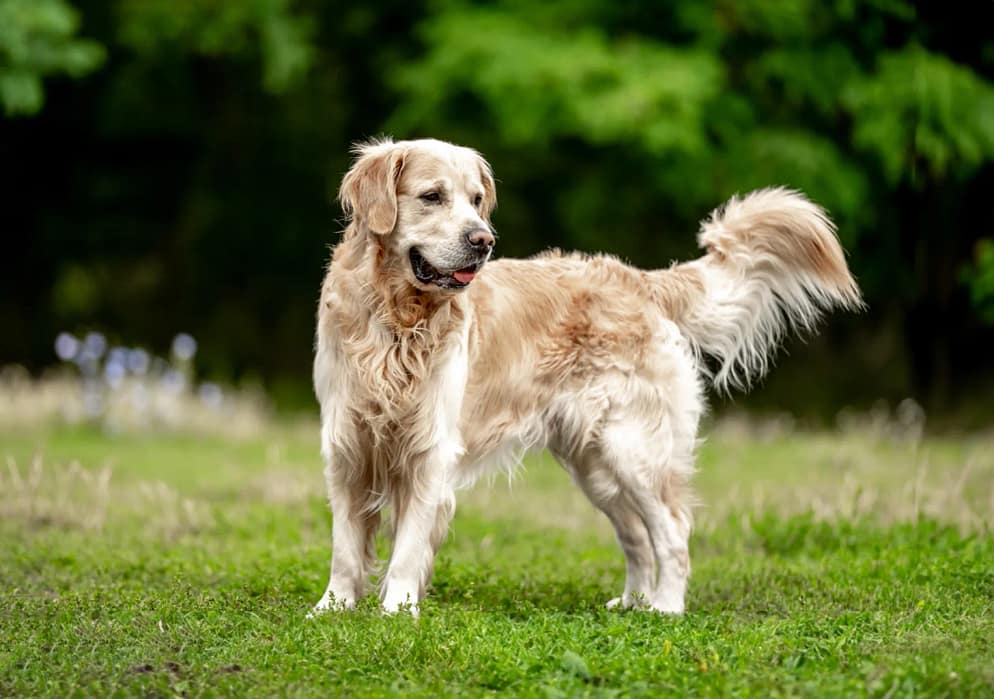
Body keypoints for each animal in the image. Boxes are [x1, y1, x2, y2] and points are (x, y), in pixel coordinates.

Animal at [312, 135, 860, 612]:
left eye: (476, 200)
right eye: (432, 196)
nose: (483, 240)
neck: (396, 321)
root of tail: (638, 279)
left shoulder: (430, 448)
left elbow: (407, 546)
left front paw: (397, 610)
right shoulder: (346, 445)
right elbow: (344, 546)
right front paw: (333, 608)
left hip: (635, 450)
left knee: (673, 530)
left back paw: (667, 607)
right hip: (594, 462)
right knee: (637, 535)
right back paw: (633, 604)